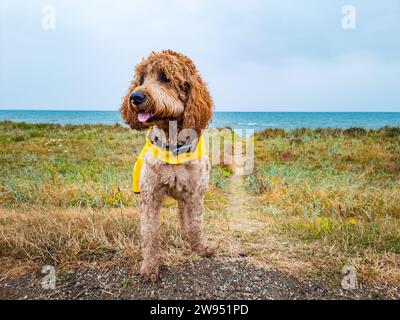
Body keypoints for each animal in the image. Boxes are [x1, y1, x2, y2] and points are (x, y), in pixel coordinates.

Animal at [120, 49, 216, 280]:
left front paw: (200, 248)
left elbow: (196, 225)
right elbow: (150, 233)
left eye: (165, 77)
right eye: (141, 79)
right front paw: (149, 266)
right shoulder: (150, 195)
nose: (135, 96)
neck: (173, 147)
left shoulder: (196, 194)